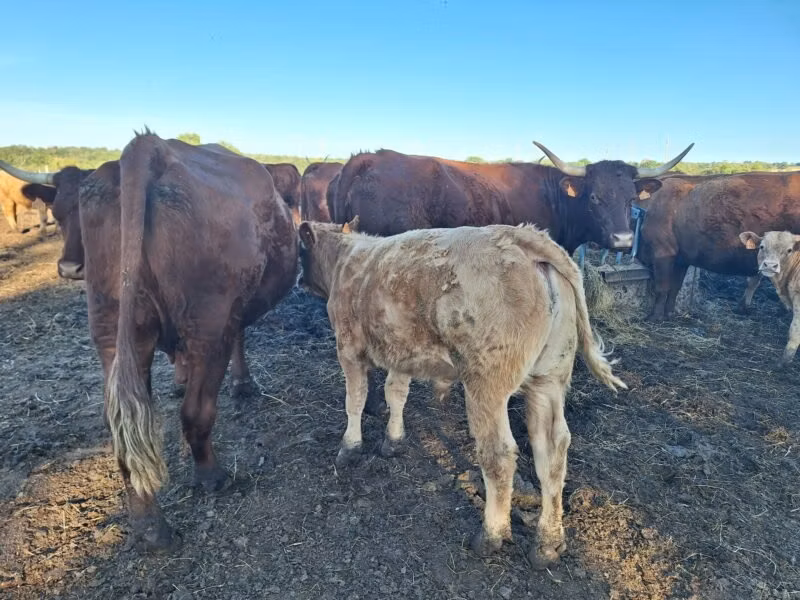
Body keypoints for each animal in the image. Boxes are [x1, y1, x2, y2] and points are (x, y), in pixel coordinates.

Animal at [0, 132, 298, 550]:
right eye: (57, 215)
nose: (69, 268)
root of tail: (148, 148)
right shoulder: (228, 315)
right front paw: (239, 384)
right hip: (207, 323)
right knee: (196, 413)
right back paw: (211, 477)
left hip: (113, 330)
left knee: (123, 427)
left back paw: (149, 525)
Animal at [297, 218, 626, 569]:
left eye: (302, 250)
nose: (299, 281)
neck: (348, 259)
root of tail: (522, 236)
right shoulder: (401, 351)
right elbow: (396, 393)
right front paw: (393, 439)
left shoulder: (348, 348)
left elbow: (356, 400)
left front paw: (349, 447)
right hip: (549, 378)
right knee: (551, 451)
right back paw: (547, 543)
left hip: (486, 383)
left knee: (498, 455)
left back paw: (491, 536)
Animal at [639, 171, 800, 320]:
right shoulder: (681, 259)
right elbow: (674, 288)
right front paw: (669, 314)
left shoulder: (662, 251)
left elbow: (662, 287)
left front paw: (654, 317)